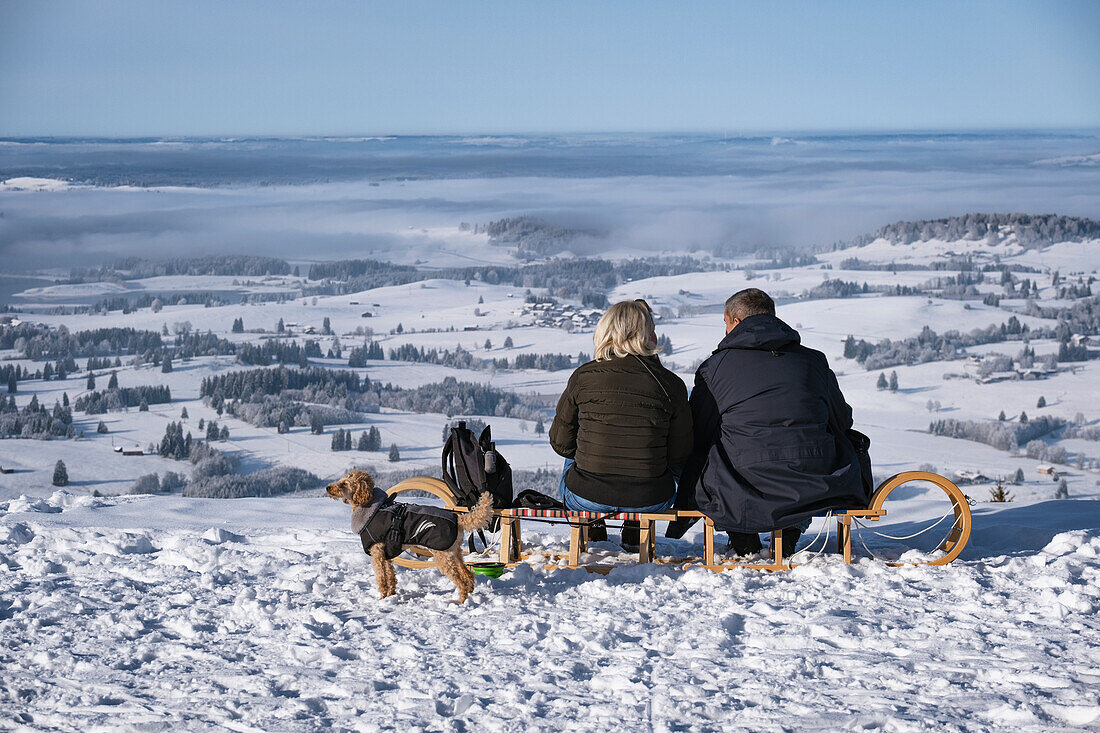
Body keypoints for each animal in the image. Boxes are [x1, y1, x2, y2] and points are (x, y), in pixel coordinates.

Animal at [325, 471, 495, 603]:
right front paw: (390, 595)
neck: (370, 508)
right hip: (455, 553)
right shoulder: (386, 555)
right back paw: (470, 591)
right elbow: (390, 576)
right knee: (467, 574)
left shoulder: (377, 553)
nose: (328, 487)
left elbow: (382, 577)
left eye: (345, 483)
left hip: (443, 555)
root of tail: (459, 520)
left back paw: (461, 601)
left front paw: (382, 598)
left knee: (460, 580)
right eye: (340, 481)